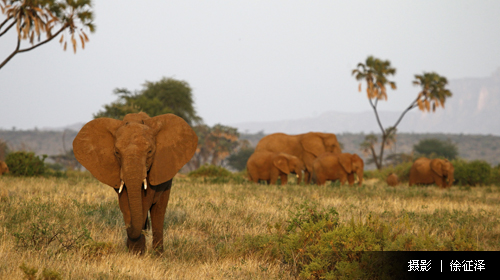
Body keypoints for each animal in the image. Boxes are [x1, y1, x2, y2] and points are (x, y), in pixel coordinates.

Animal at [72, 111, 197, 254]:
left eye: (150, 151)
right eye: (116, 152)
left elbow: (146, 199)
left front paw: (137, 248)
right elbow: (125, 201)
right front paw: (135, 250)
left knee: (159, 210)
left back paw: (158, 254)